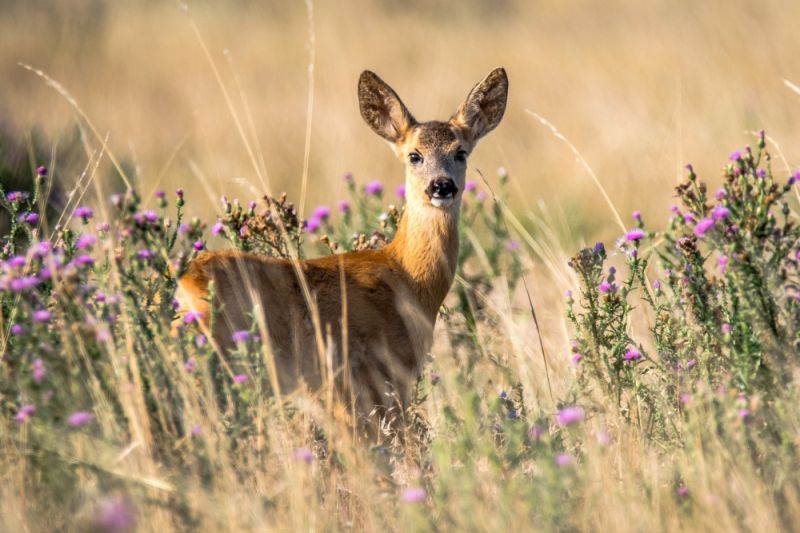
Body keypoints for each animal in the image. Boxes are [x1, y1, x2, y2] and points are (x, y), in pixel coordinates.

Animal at [177, 67, 508, 433]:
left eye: (461, 152)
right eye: (414, 155)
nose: (442, 186)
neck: (407, 278)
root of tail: (185, 285)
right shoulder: (374, 376)